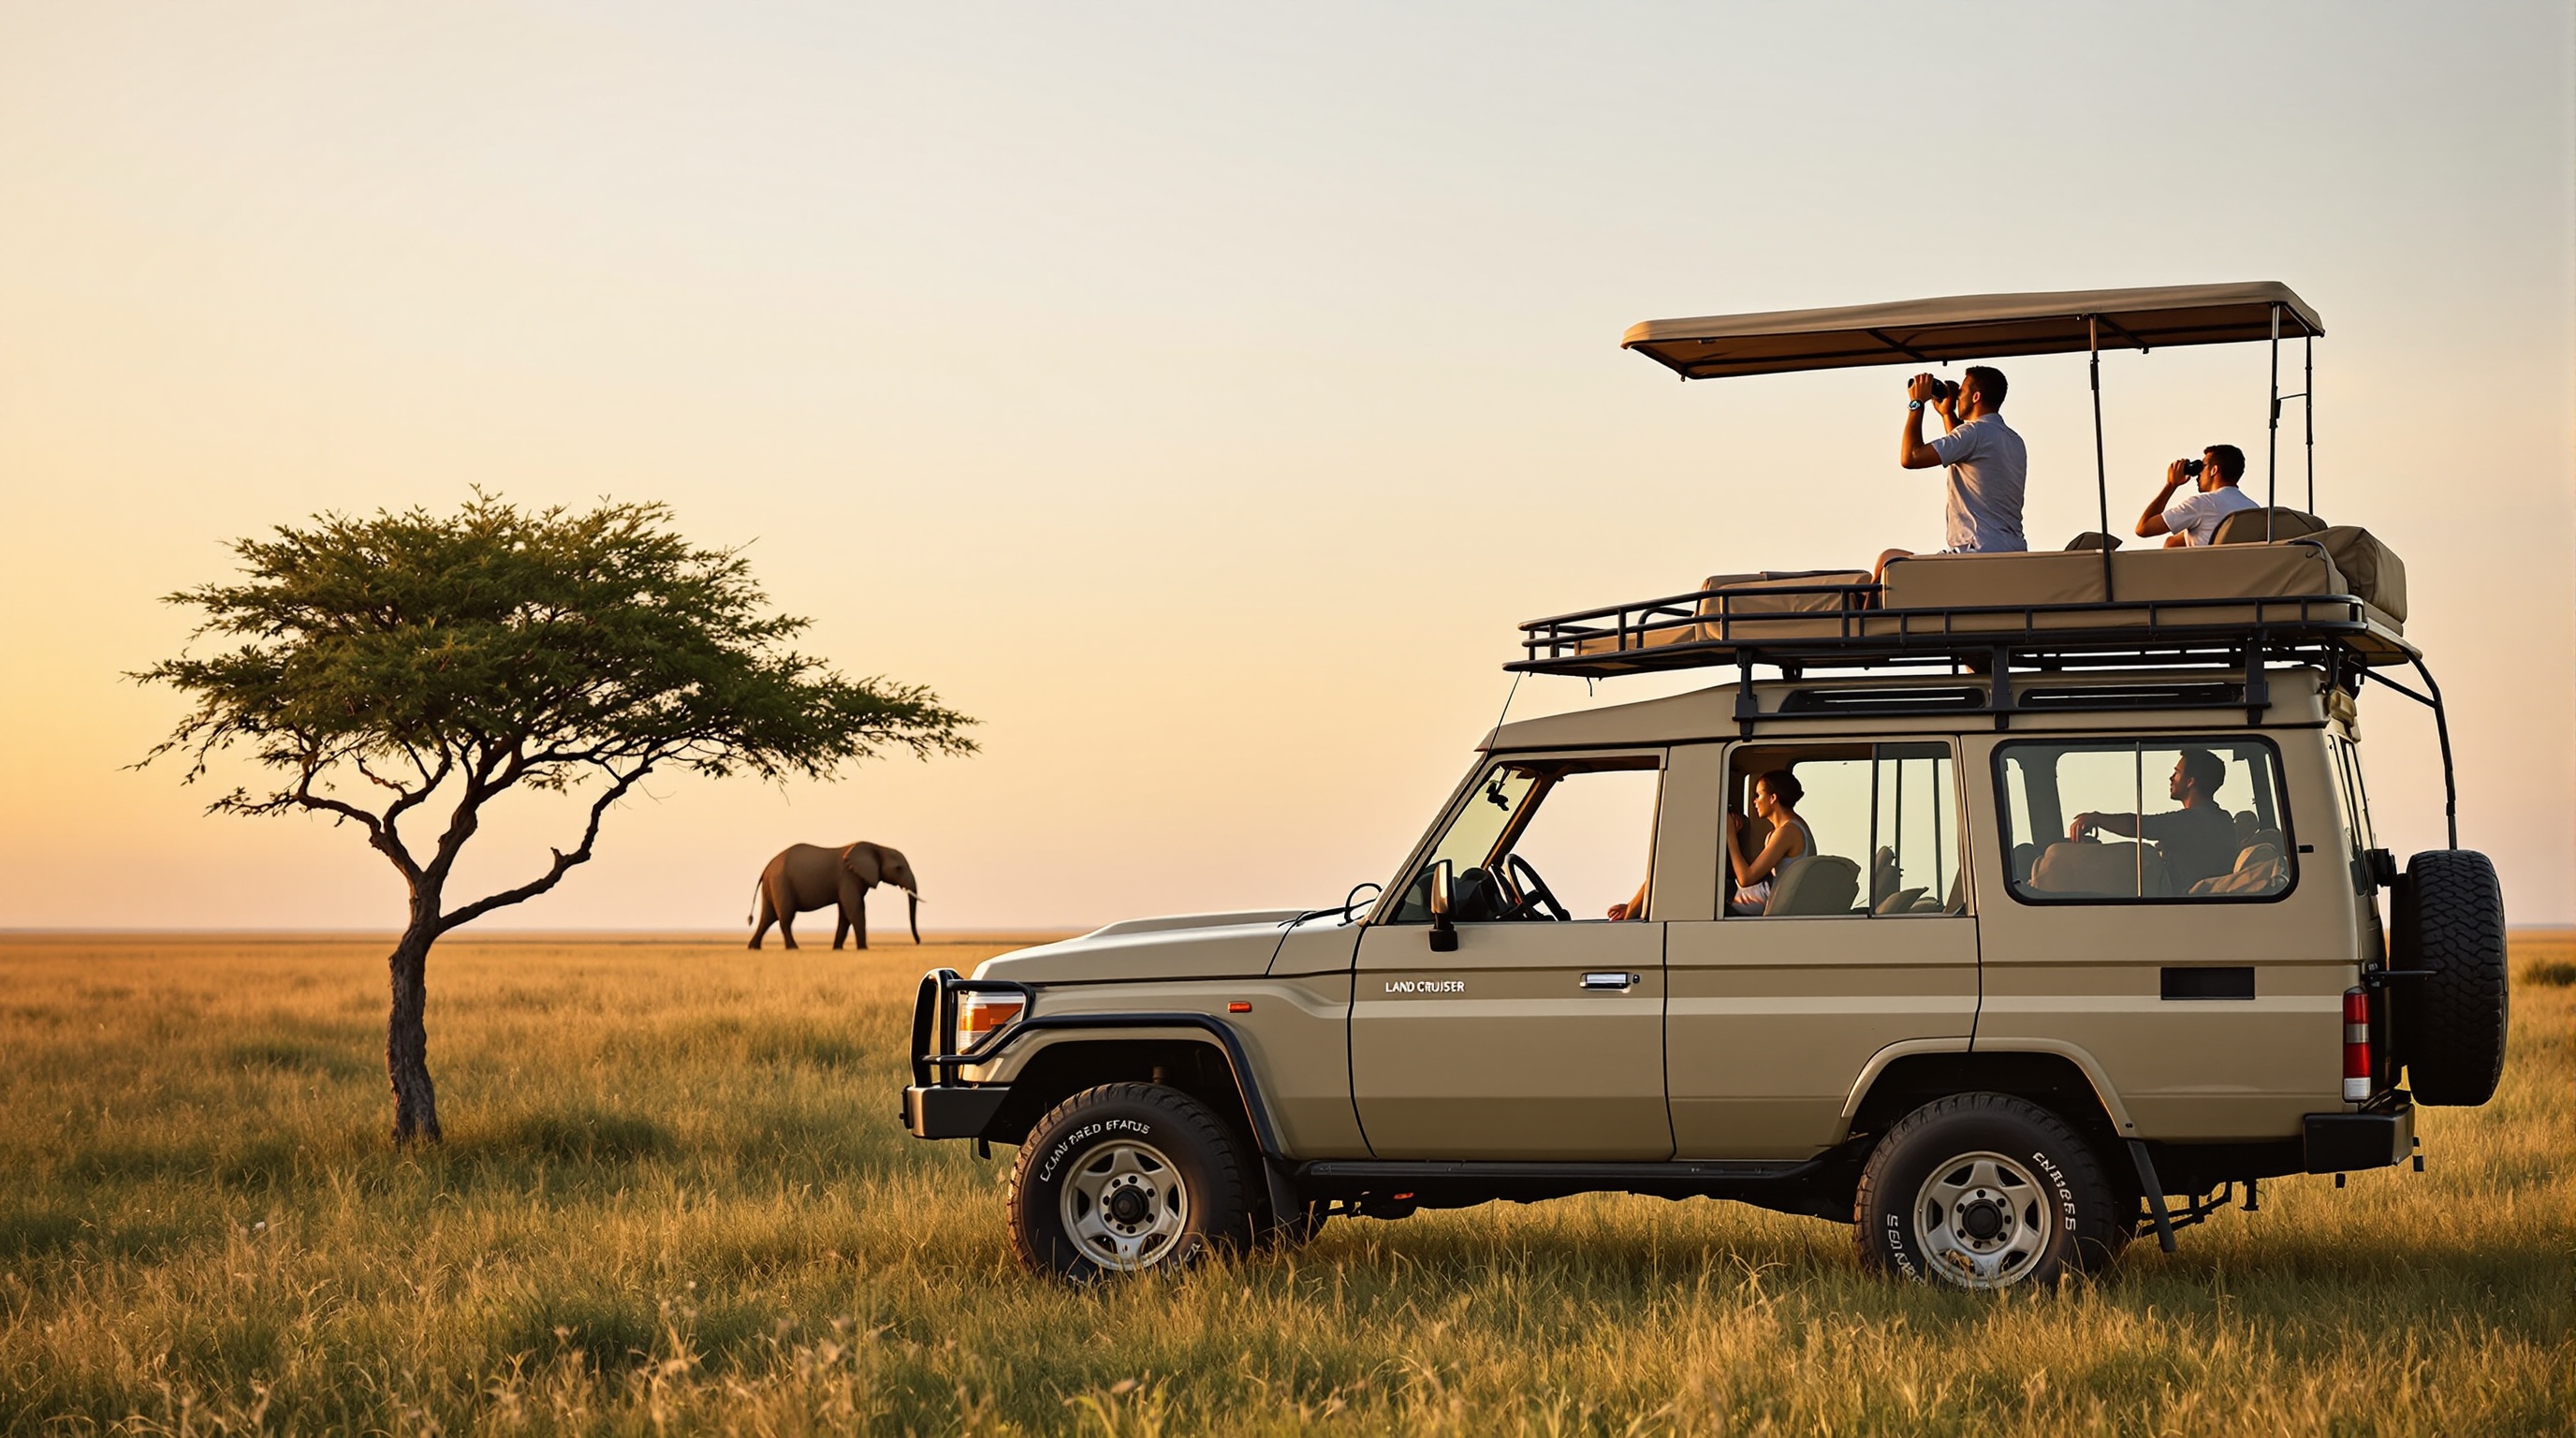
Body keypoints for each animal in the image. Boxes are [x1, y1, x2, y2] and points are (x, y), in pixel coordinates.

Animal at [747, 842, 921, 950]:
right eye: (898, 868)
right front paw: (863, 949)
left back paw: (753, 948)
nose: (918, 942)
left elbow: (845, 913)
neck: (877, 847)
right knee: (785, 917)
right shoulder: (848, 877)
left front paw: (837, 949)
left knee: (768, 917)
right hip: (781, 882)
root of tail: (766, 868)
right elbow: (855, 908)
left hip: (773, 884)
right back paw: (794, 949)